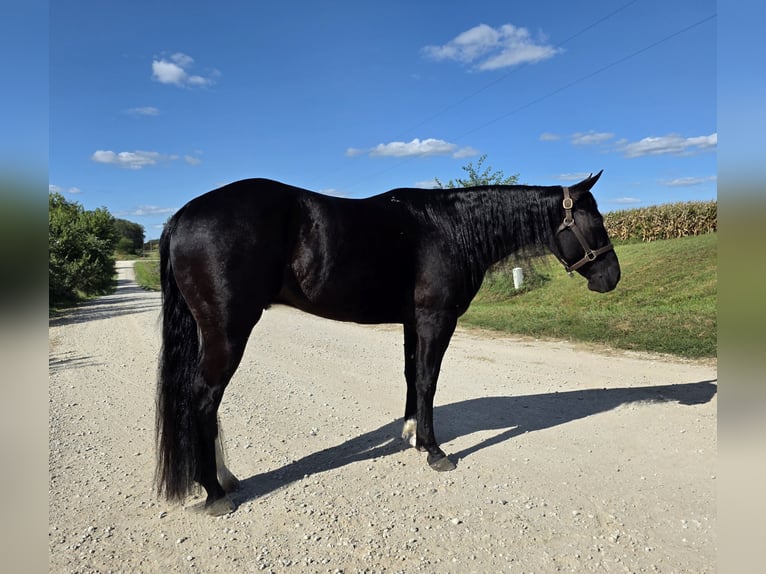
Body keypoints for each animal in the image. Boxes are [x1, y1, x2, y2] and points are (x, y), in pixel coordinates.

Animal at [155, 171, 620, 515]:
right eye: (596, 223)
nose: (611, 277)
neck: (450, 229)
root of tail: (183, 215)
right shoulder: (436, 319)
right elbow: (429, 380)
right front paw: (433, 450)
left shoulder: (413, 322)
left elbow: (413, 376)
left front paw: (411, 434)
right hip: (228, 331)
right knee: (204, 398)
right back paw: (214, 492)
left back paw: (223, 478)